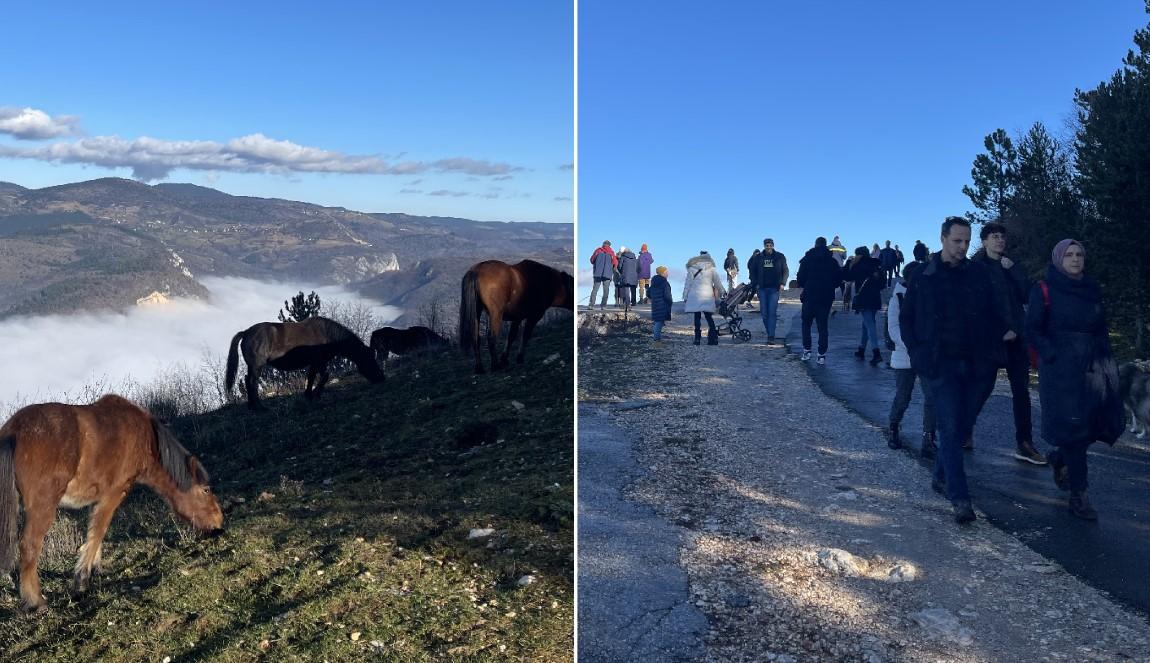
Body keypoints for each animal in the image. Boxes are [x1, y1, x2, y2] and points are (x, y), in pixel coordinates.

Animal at [0, 392, 223, 611]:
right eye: (206, 490)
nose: (219, 522)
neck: (144, 438)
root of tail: (14, 430)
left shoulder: (96, 498)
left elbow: (93, 531)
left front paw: (93, 568)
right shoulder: (114, 493)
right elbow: (100, 529)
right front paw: (82, 581)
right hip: (43, 508)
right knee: (29, 546)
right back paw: (35, 601)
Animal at [225, 314, 386, 409]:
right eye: (369, 359)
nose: (381, 378)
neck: (327, 335)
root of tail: (246, 332)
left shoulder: (318, 362)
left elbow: (317, 377)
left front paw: (311, 395)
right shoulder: (317, 362)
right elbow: (319, 377)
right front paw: (312, 395)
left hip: (252, 366)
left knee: (247, 380)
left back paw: (252, 406)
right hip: (257, 365)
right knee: (253, 382)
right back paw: (259, 406)